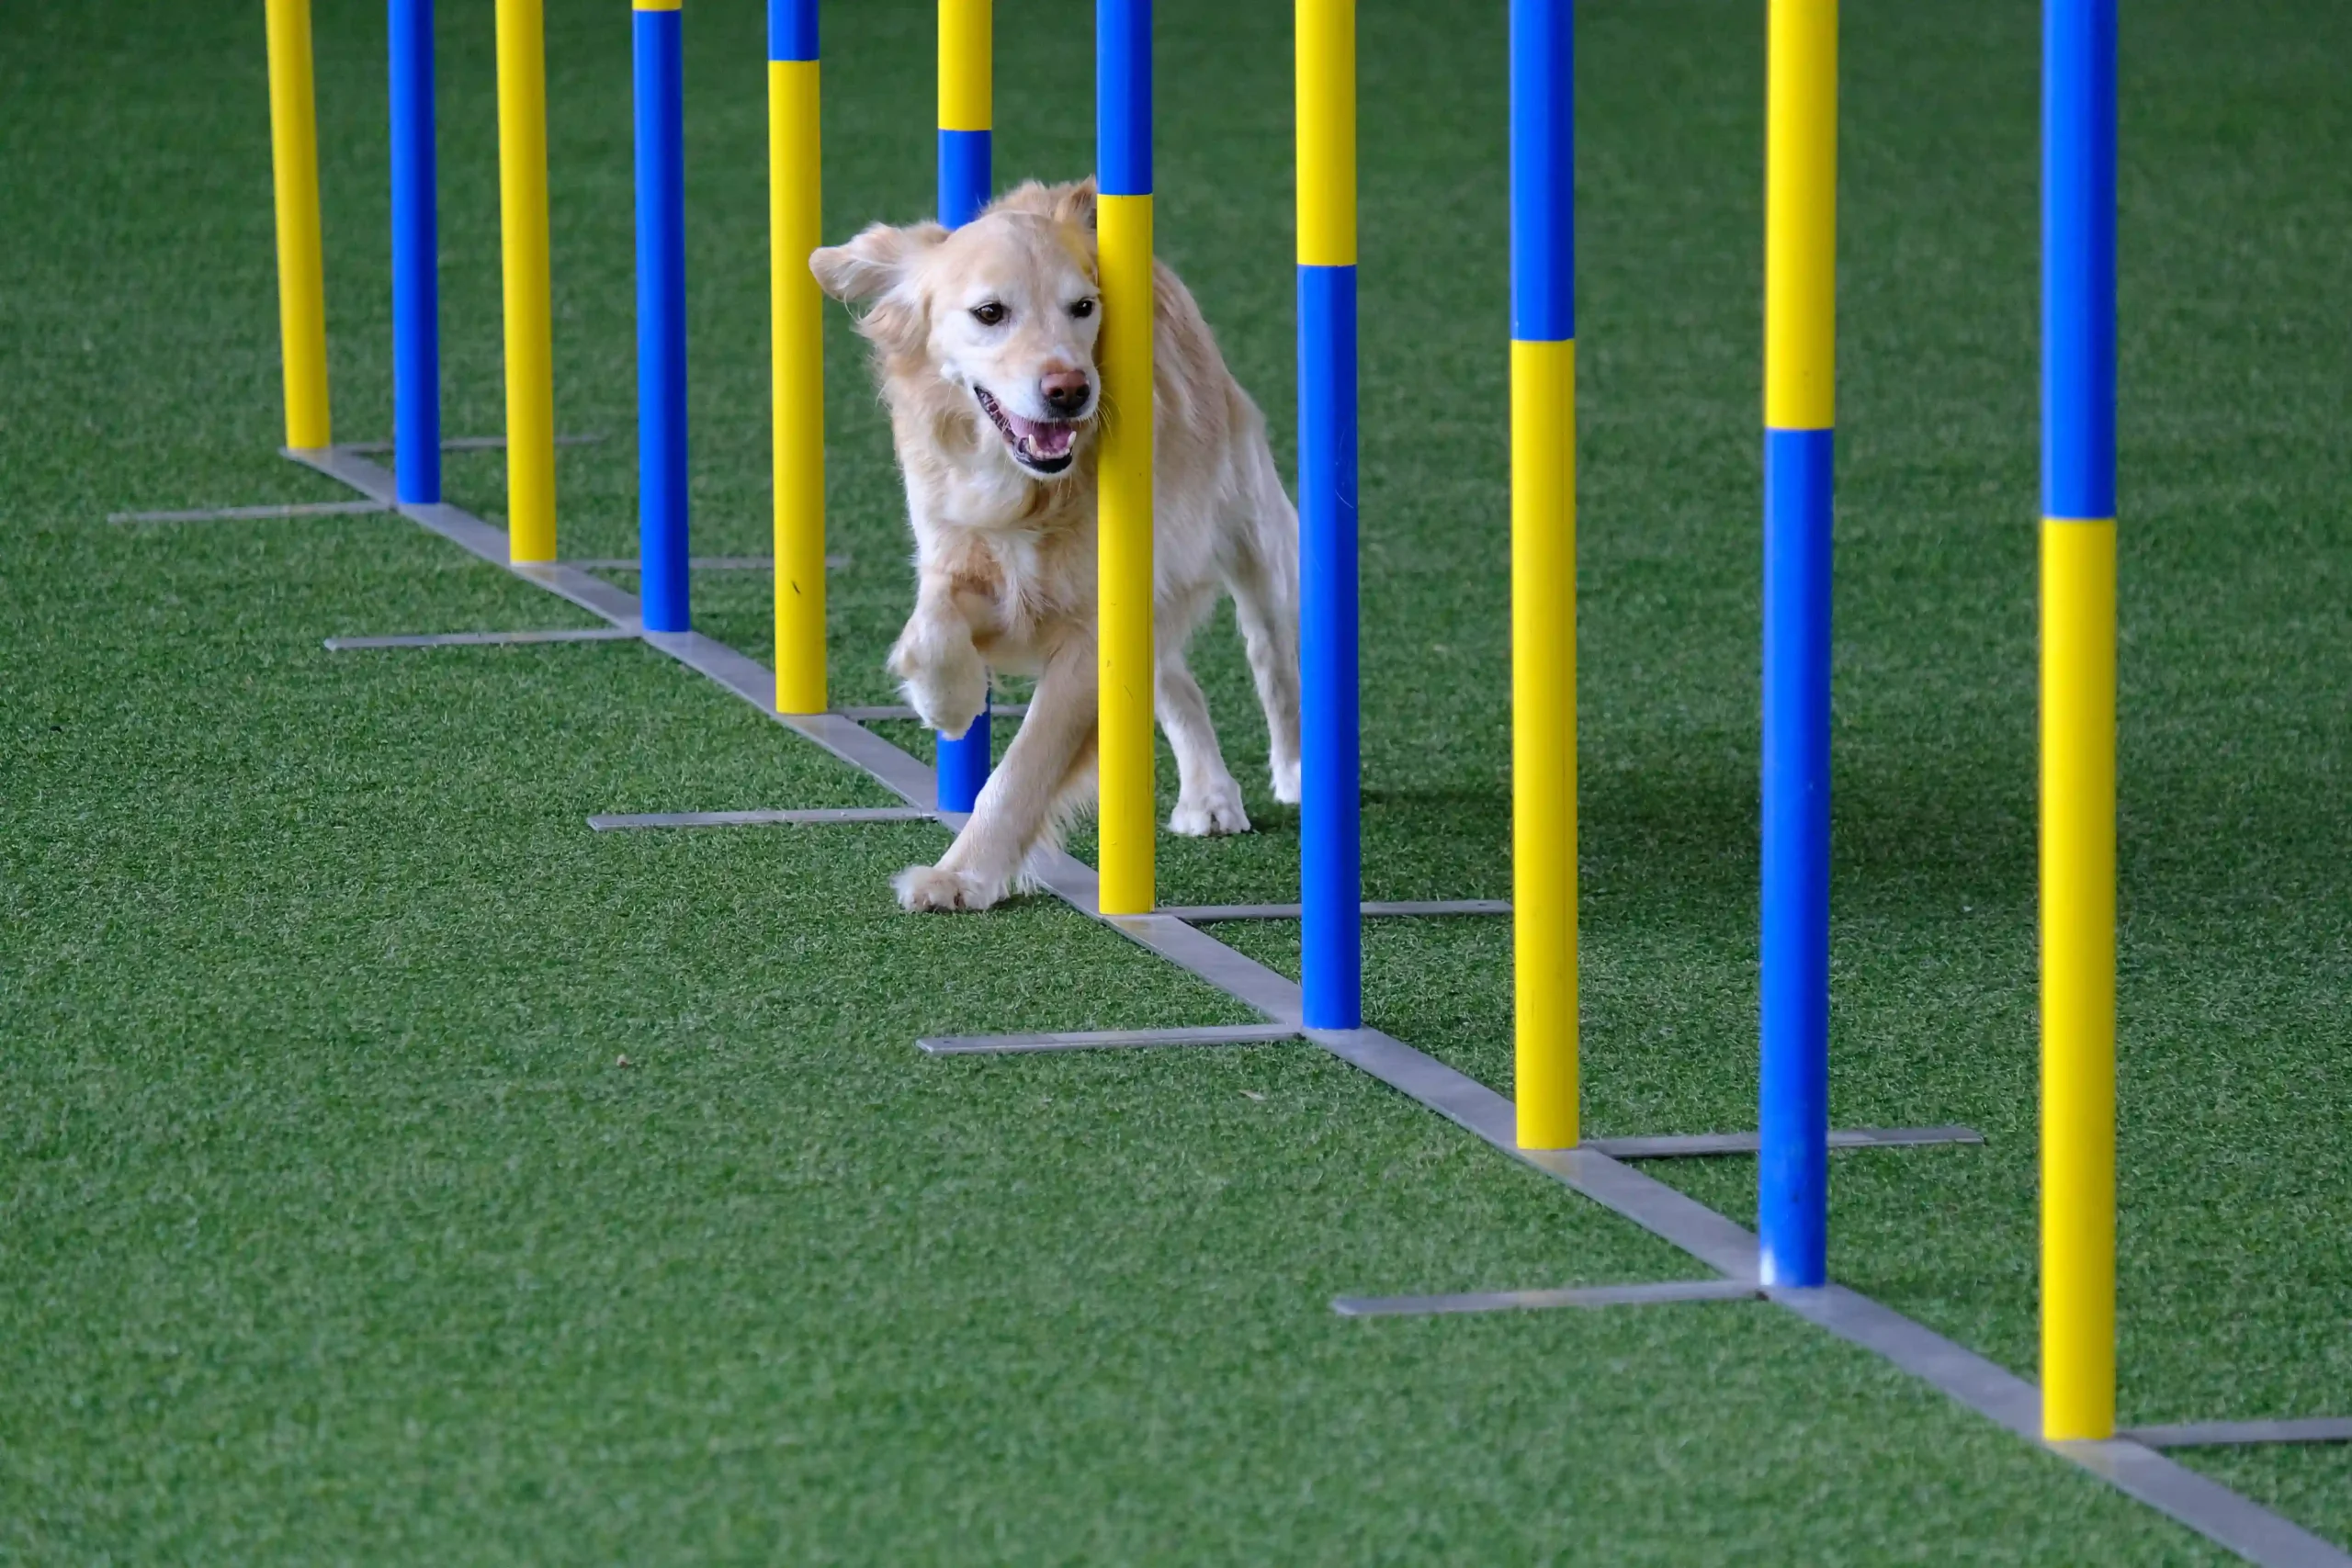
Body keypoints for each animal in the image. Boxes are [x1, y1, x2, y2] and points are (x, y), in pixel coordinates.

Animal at [818, 177, 1307, 911]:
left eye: (1083, 308)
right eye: (990, 312)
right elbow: (932, 626)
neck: (1026, 488)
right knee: (1178, 681)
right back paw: (1209, 795)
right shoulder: (955, 548)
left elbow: (1024, 767)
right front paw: (948, 700)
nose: (1069, 390)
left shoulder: (1092, 630)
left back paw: (1298, 771)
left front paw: (961, 875)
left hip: (1252, 537)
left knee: (1274, 658)